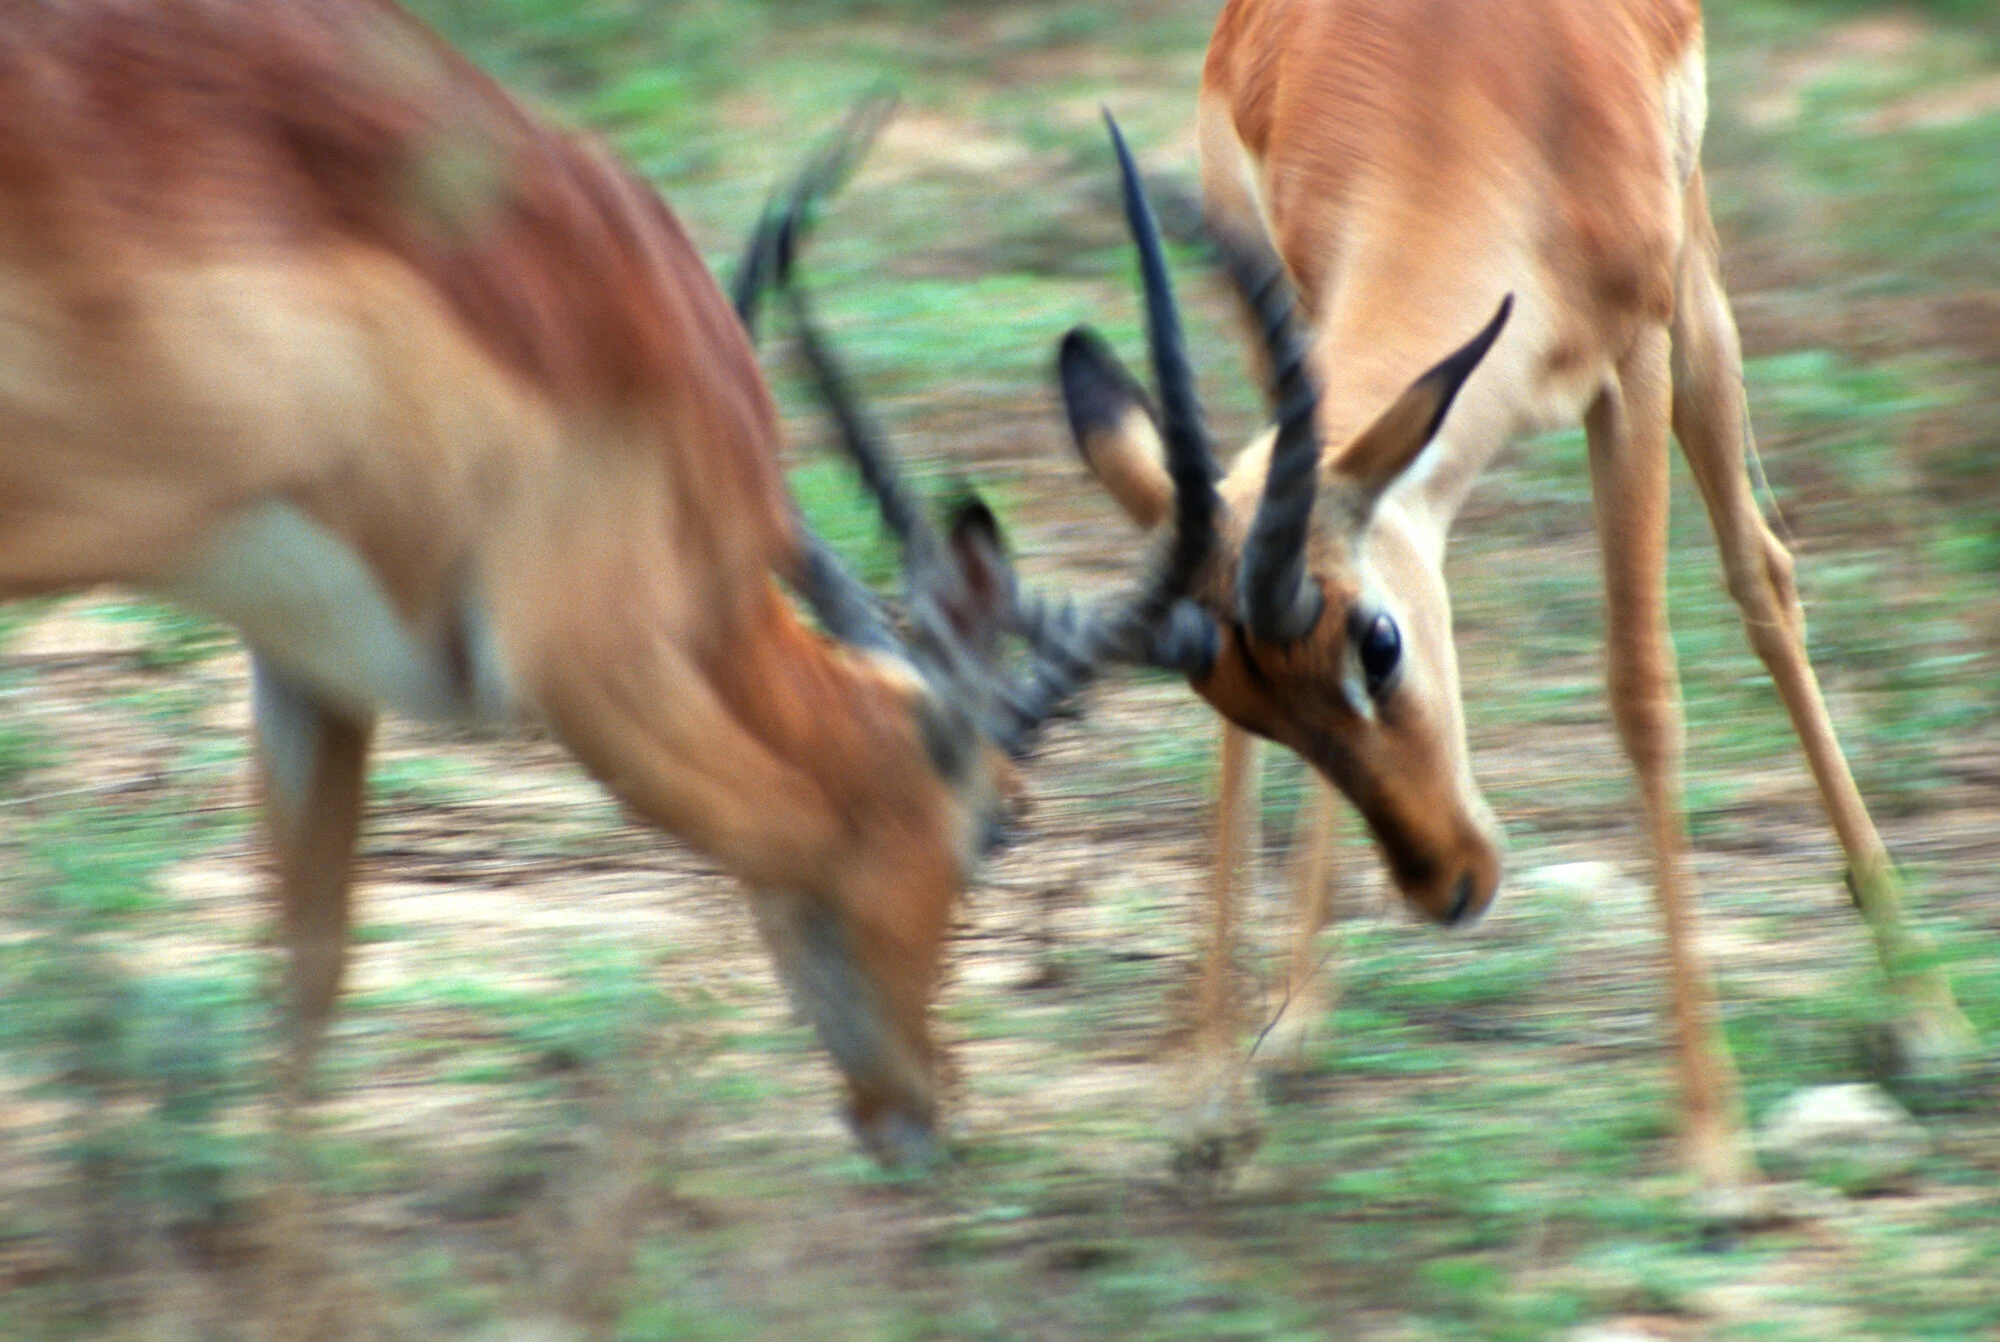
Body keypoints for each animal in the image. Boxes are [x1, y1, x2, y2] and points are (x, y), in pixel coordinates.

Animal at [0, 0, 1210, 1166]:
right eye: (1003, 823)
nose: (918, 1110)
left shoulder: (309, 661)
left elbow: (305, 985)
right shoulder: (596, 667)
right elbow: (791, 834)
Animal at [1056, 0, 1974, 1197]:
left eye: (1379, 642)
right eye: (1247, 702)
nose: (1448, 883)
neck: (1456, 94)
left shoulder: (1629, 360)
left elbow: (1642, 694)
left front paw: (1716, 1159)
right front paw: (1211, 1101)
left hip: (1695, 287)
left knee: (1761, 573)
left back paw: (1927, 1016)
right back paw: (1294, 1017)